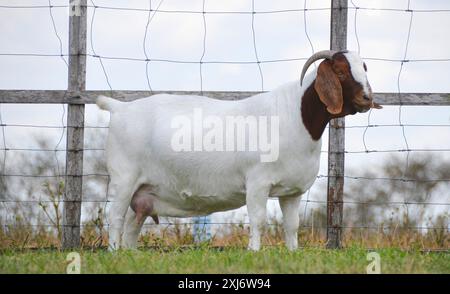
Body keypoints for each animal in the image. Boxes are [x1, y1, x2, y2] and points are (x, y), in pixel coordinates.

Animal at [96, 50, 382, 250]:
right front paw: (254, 251)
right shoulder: (257, 182)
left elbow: (292, 226)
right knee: (116, 217)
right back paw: (114, 252)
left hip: (145, 196)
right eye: (341, 72)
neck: (293, 117)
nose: (367, 98)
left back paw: (130, 254)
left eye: (364, 68)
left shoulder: (293, 192)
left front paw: (293, 252)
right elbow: (258, 220)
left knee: (132, 226)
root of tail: (120, 108)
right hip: (124, 178)